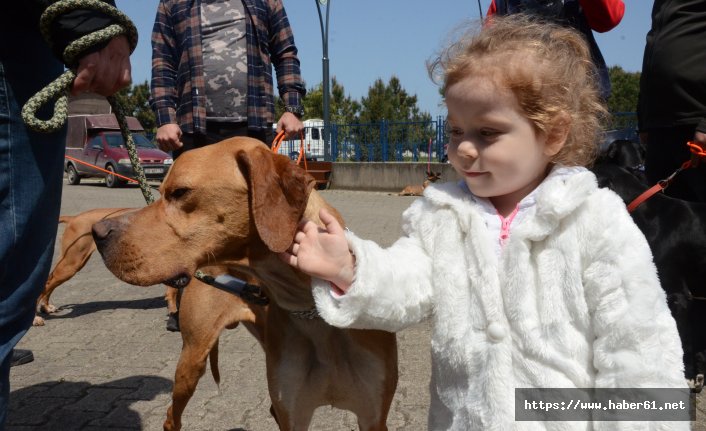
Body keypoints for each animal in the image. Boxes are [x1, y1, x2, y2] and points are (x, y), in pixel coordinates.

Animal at [91, 138, 398, 431]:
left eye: (179, 192)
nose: (98, 232)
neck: (313, 313)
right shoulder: (294, 415)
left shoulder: (373, 417)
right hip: (191, 360)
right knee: (171, 416)